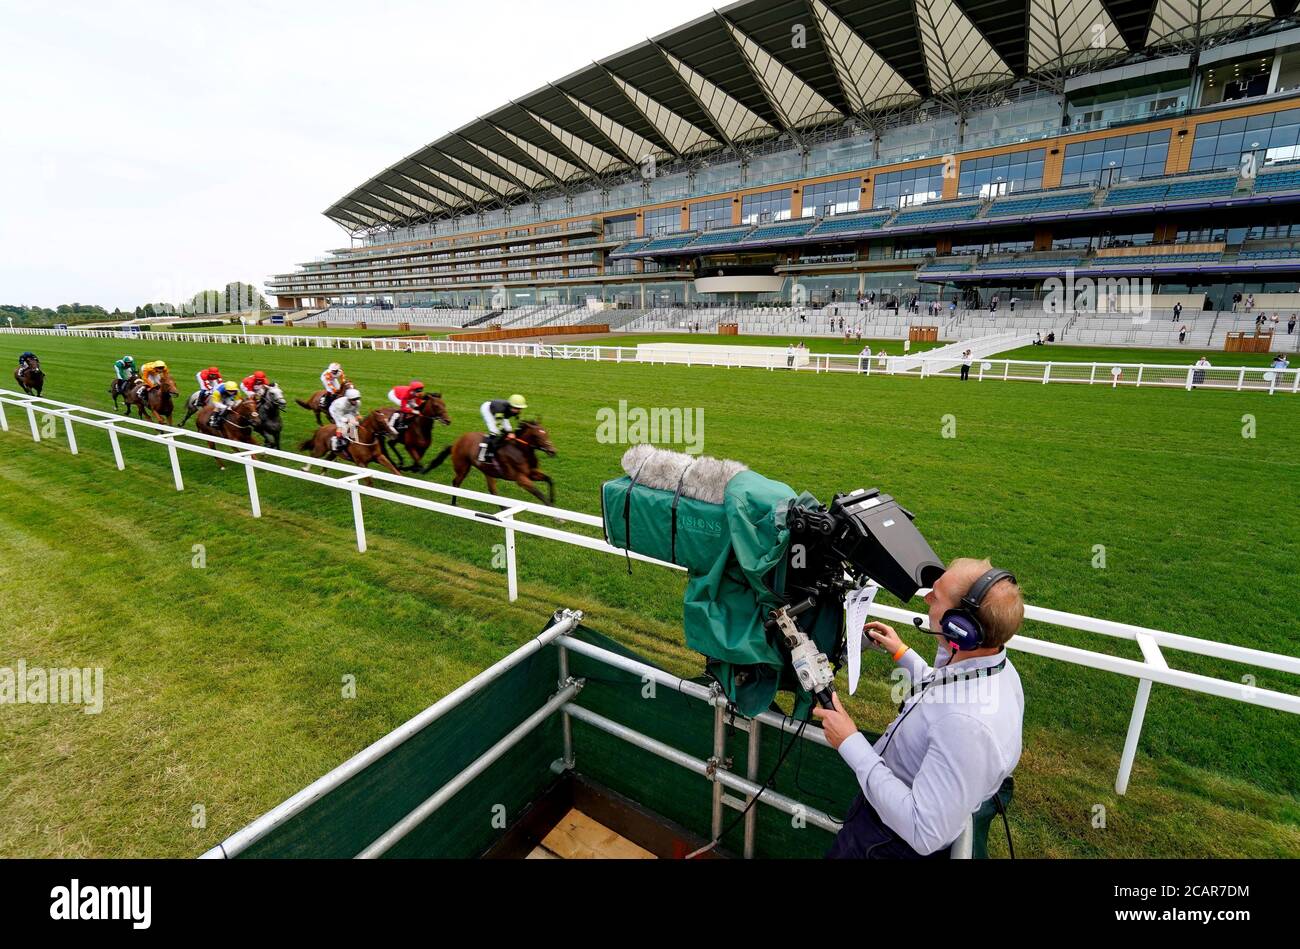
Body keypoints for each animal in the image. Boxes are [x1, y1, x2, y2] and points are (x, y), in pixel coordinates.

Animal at [421, 418, 553, 501]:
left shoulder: (532, 473)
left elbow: (549, 479)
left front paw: (552, 500)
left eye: (546, 433)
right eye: (536, 436)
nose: (553, 450)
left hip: (488, 471)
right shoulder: (521, 479)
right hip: (463, 467)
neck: (520, 450)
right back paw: (454, 504)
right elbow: (539, 494)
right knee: (456, 483)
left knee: (493, 492)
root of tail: (456, 443)